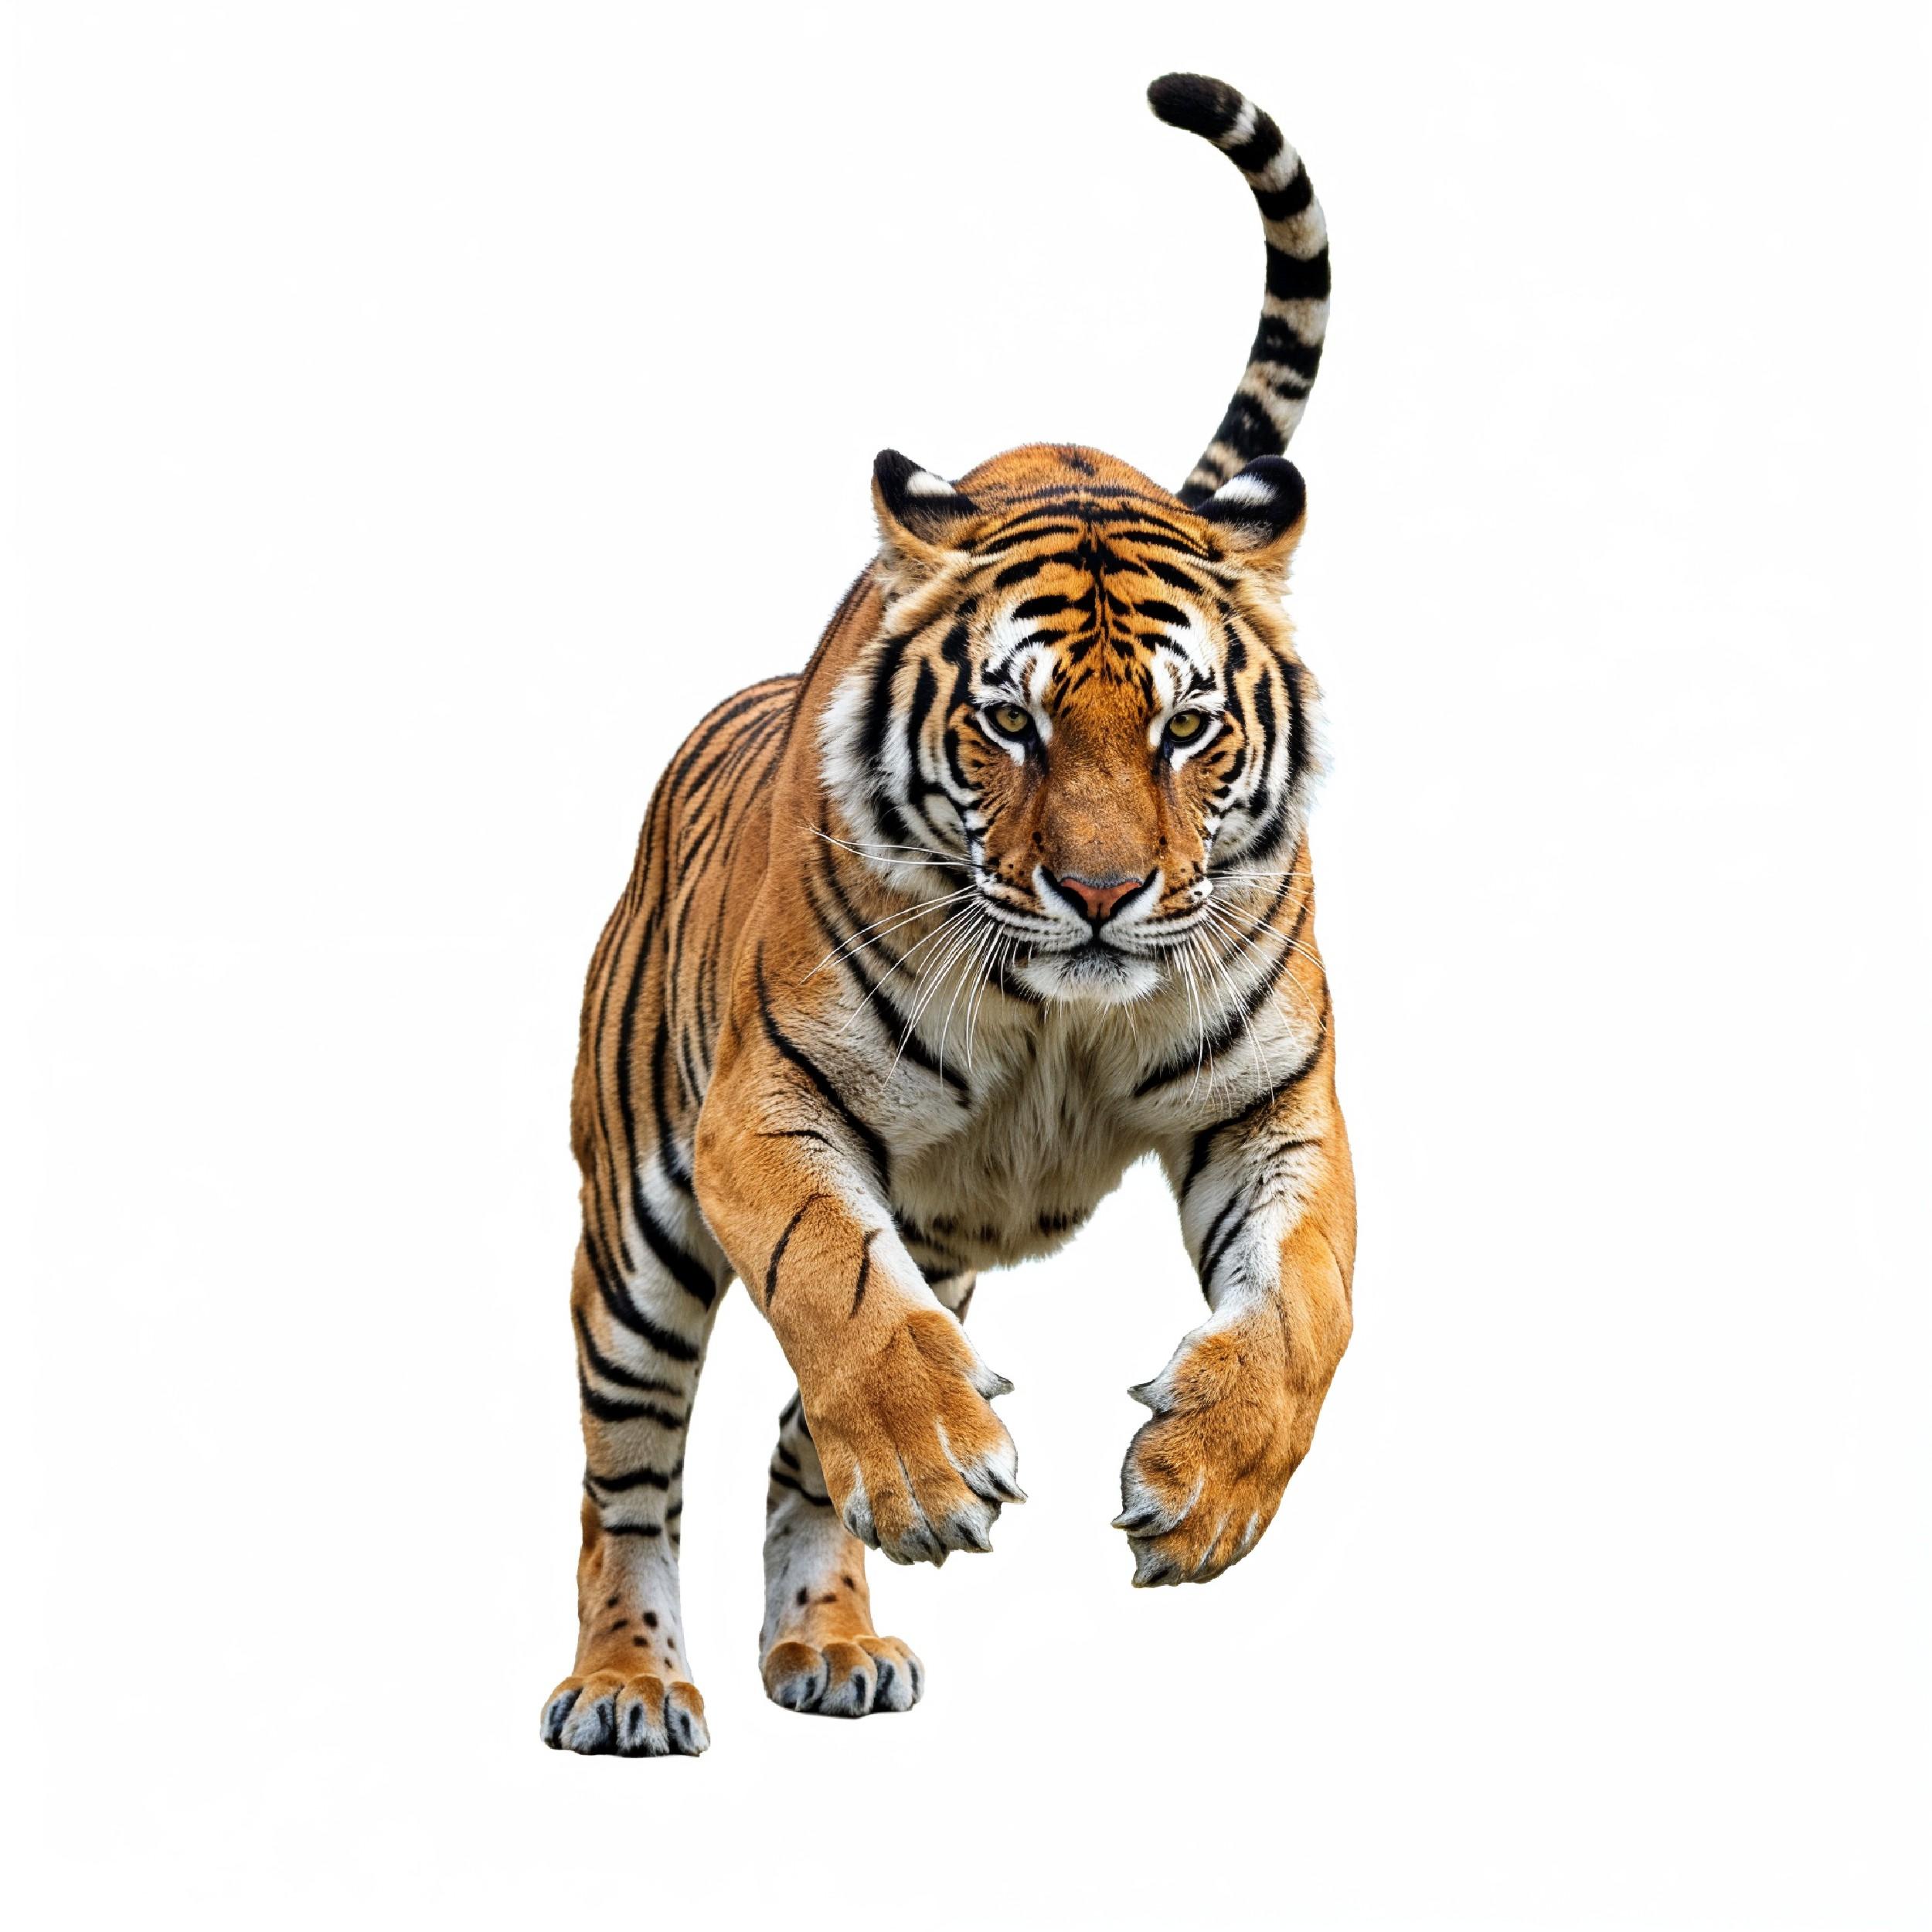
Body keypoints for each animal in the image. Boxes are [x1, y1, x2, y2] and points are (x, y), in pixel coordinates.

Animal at [541, 70, 1355, 1758]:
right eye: (1010, 723)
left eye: (1186, 728)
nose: (1101, 894)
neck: (1062, 1008)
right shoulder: (760, 1112)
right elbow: (831, 1282)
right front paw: (928, 1460)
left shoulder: (1275, 1106)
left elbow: (1308, 1308)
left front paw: (1203, 1489)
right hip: (632, 1240)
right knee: (626, 1476)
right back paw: (627, 1683)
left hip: (938, 1230)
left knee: (799, 1442)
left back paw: (831, 1643)